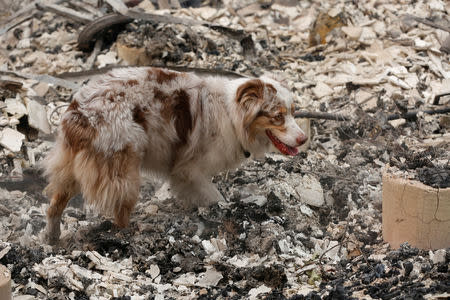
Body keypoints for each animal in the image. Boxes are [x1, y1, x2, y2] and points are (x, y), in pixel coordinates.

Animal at [43, 67, 306, 244]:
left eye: (293, 112)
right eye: (278, 116)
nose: (303, 139)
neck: (231, 113)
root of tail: (80, 114)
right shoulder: (189, 170)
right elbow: (215, 197)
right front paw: (221, 212)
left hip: (70, 169)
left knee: (54, 207)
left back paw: (52, 240)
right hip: (123, 171)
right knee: (120, 212)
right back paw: (128, 234)